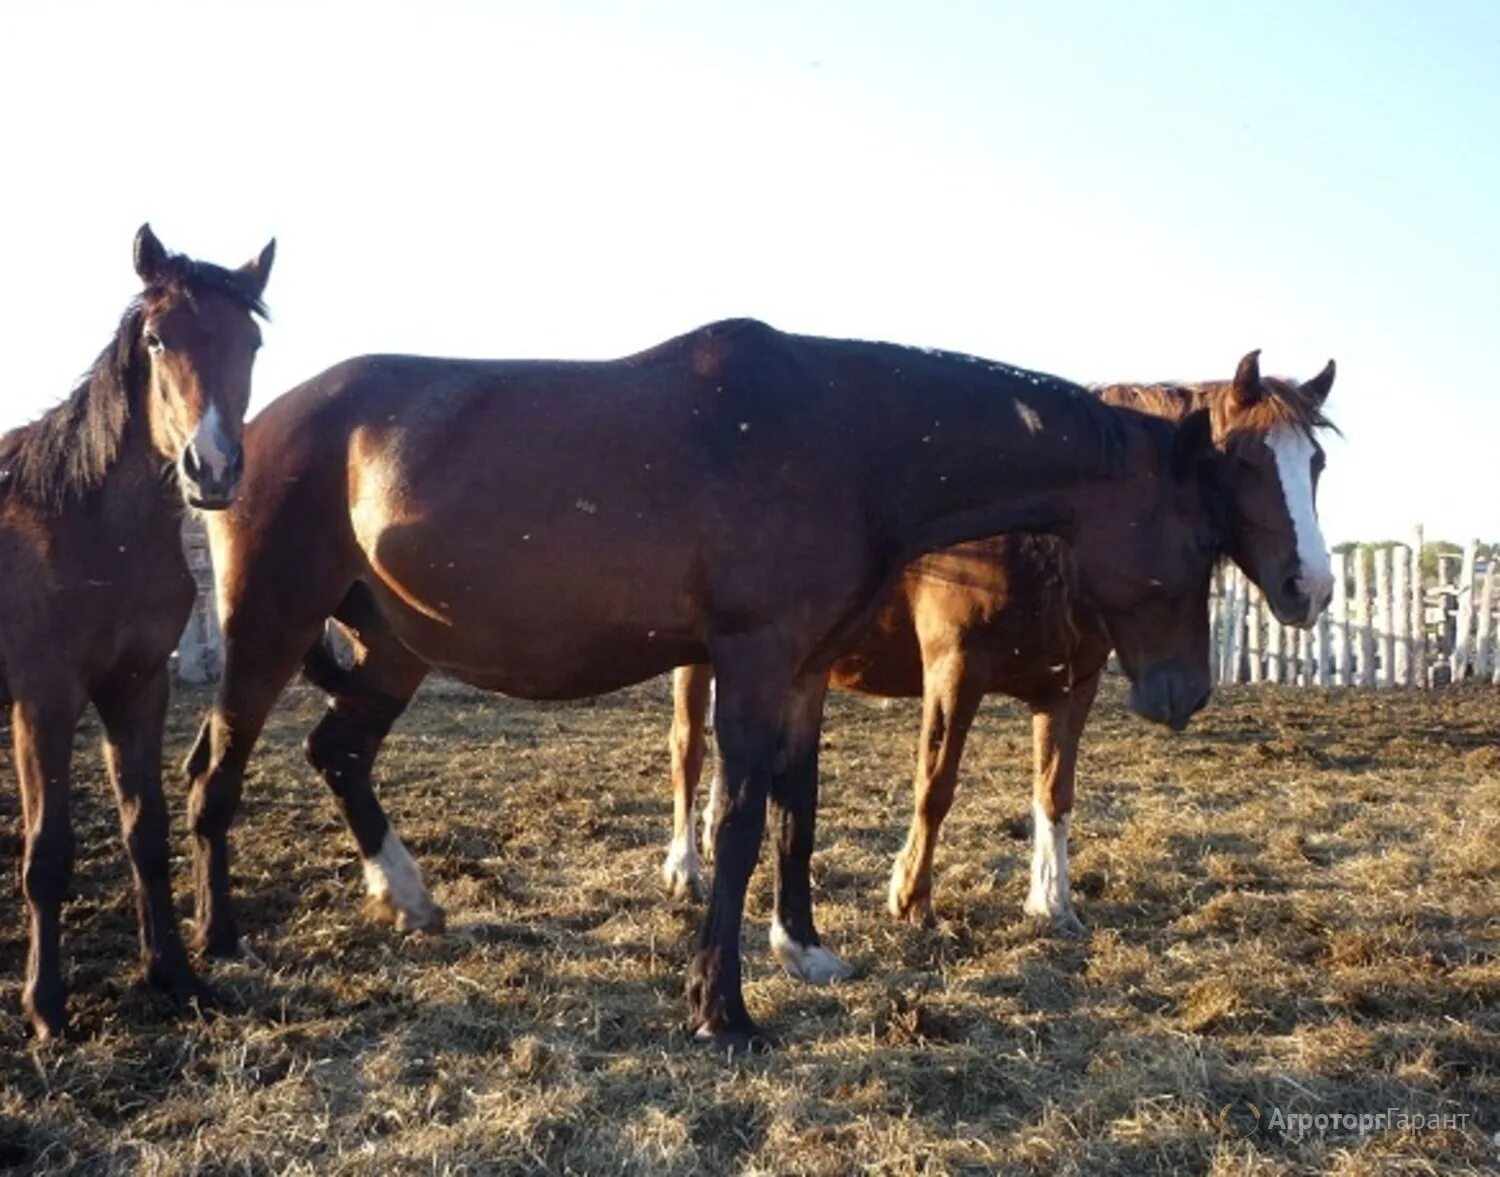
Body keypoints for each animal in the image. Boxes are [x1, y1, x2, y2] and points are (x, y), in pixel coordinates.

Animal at [0, 224, 273, 1031]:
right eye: (156, 338)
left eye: (251, 341)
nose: (211, 467)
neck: (90, 530)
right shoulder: (45, 700)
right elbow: (47, 853)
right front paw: (45, 1005)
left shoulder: (139, 688)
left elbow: (145, 832)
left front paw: (174, 974)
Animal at [187, 316, 1236, 1043]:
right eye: (1200, 540)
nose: (1184, 693)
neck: (846, 438)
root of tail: (249, 436)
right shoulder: (753, 659)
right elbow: (735, 818)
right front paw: (719, 1007)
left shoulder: (804, 670)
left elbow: (794, 806)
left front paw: (803, 946)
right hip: (269, 630)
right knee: (216, 773)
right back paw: (218, 943)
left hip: (396, 648)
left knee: (338, 751)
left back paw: (406, 894)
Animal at [669, 350, 1338, 947]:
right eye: (1243, 461)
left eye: (1318, 463)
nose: (1312, 587)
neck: (1034, 533)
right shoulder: (954, 673)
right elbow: (935, 785)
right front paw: (910, 897)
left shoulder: (1071, 686)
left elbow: (1055, 792)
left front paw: (1052, 903)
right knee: (689, 751)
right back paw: (685, 869)